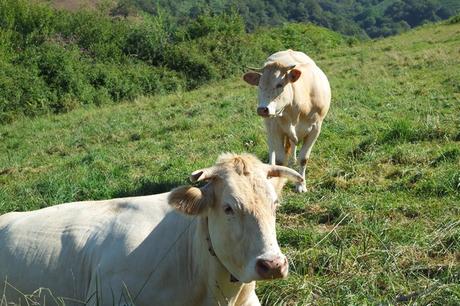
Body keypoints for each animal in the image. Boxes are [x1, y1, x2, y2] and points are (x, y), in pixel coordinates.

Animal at [244, 49, 330, 192]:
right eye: (260, 86)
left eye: (280, 84)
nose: (262, 109)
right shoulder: (276, 129)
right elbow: (280, 160)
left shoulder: (316, 128)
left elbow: (304, 158)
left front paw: (301, 185)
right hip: (269, 125)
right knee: (271, 147)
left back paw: (293, 161)